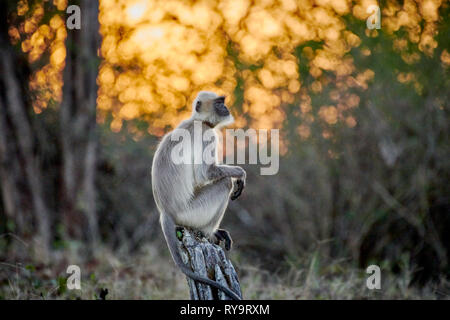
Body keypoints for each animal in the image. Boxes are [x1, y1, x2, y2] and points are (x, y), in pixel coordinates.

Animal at [153, 90, 248, 300]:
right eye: (219, 103)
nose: (226, 108)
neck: (198, 121)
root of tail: (165, 212)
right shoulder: (207, 135)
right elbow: (206, 173)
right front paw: (240, 173)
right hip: (191, 212)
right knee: (224, 183)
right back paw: (209, 232)